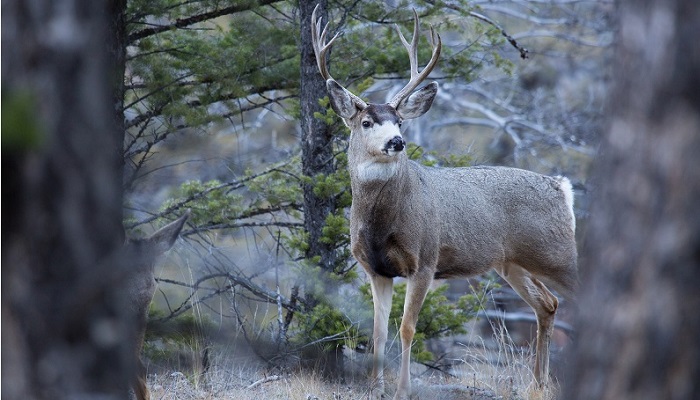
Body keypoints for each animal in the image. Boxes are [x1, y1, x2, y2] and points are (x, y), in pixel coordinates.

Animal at [308, 7, 576, 400]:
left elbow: (407, 327)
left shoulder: (425, 259)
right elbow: (377, 332)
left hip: (559, 254)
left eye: (399, 120)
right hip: (511, 263)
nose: (397, 141)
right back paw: (537, 385)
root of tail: (561, 187)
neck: (381, 223)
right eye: (367, 121)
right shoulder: (375, 268)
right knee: (548, 304)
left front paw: (403, 389)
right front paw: (375, 387)